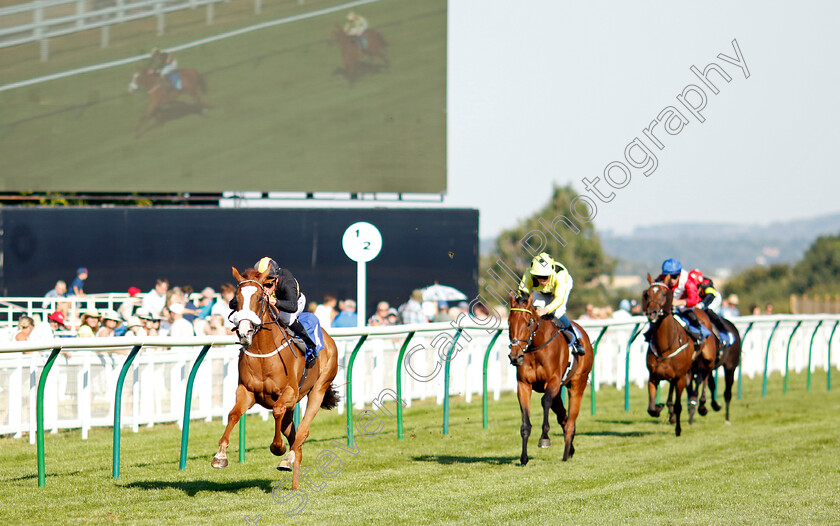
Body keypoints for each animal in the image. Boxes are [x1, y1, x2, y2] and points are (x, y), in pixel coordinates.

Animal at [210, 268, 338, 490]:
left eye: (260, 298)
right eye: (236, 299)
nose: (244, 332)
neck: (263, 351)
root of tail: (328, 337)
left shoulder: (290, 392)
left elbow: (277, 410)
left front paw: (278, 448)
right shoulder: (246, 391)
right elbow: (233, 414)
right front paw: (220, 456)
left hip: (319, 388)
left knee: (303, 431)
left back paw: (287, 458)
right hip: (292, 406)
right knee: (295, 439)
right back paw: (294, 478)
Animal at [508, 294, 592, 468]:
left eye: (528, 322)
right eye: (508, 322)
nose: (515, 356)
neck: (536, 348)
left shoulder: (552, 380)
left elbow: (545, 401)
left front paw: (544, 438)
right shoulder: (523, 385)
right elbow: (525, 424)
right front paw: (524, 459)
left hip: (577, 384)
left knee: (570, 420)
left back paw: (566, 453)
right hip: (559, 391)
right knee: (563, 417)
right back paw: (571, 449)